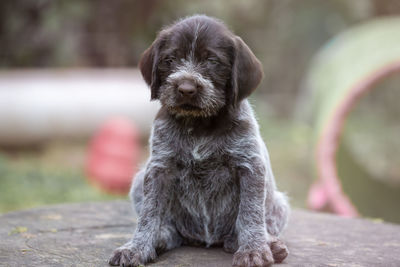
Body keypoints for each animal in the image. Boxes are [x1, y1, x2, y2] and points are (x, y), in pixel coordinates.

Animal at [109, 15, 290, 267]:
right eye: (170, 59)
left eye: (212, 61)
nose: (186, 89)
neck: (199, 124)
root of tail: (206, 241)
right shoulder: (159, 168)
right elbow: (149, 214)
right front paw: (136, 248)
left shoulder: (250, 166)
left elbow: (250, 213)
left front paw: (253, 249)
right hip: (138, 182)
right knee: (171, 230)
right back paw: (161, 238)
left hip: (279, 204)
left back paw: (264, 243)